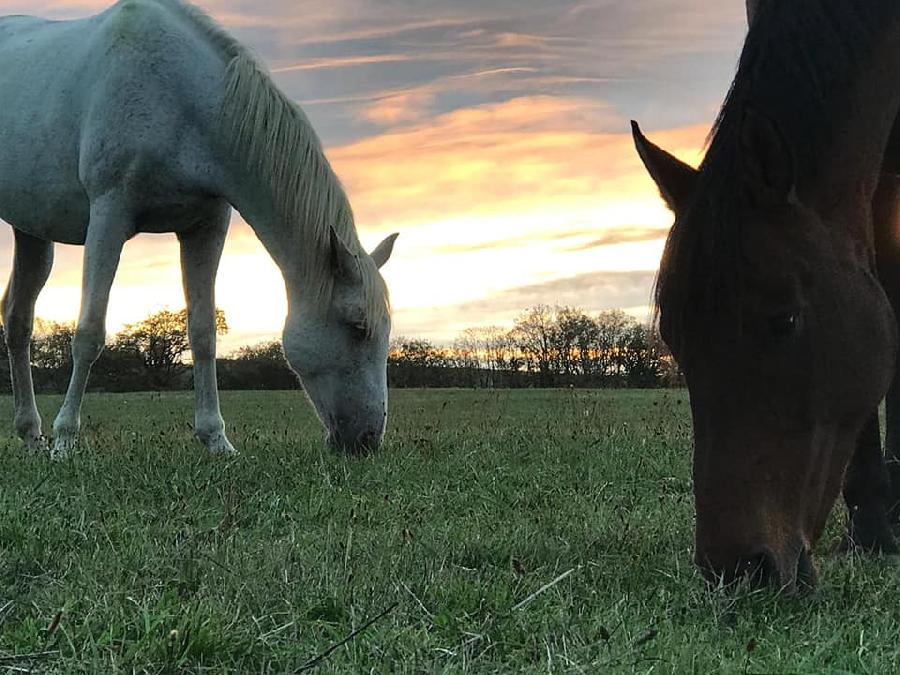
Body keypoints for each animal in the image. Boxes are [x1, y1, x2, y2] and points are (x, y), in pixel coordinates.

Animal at [0, 0, 398, 460]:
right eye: (357, 326)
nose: (367, 441)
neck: (180, 96)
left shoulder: (206, 226)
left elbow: (204, 333)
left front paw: (216, 439)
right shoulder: (109, 215)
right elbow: (88, 333)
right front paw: (65, 441)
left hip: (32, 230)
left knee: (18, 320)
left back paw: (30, 434)